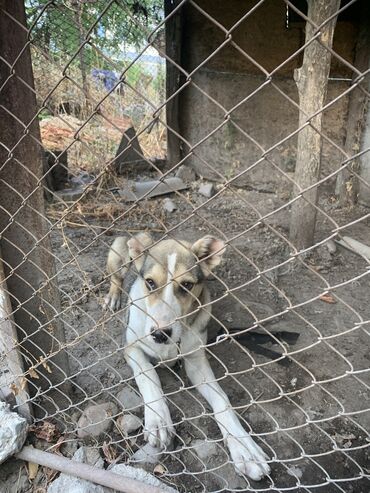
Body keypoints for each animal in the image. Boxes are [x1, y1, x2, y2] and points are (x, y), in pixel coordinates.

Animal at [105, 234, 270, 480]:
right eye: (150, 282)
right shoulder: (131, 347)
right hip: (118, 251)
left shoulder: (195, 361)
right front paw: (159, 420)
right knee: (117, 278)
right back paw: (114, 297)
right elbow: (149, 376)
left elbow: (222, 399)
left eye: (187, 285)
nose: (160, 334)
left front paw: (244, 447)